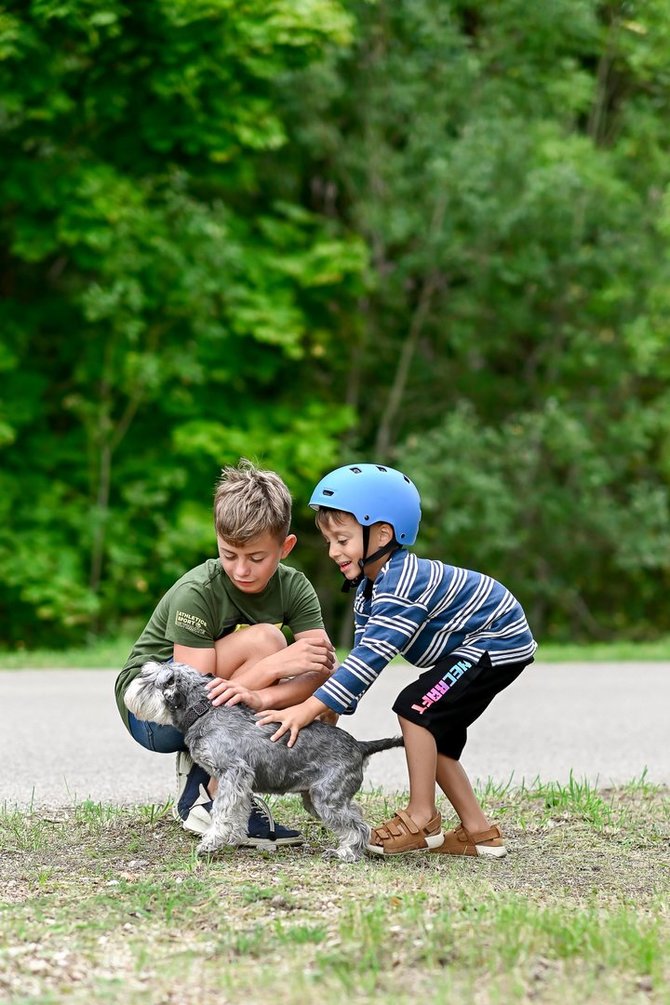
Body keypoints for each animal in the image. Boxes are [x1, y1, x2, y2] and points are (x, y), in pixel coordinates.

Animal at [124, 659, 403, 864]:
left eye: (151, 679)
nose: (130, 689)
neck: (204, 712)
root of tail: (360, 746)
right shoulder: (239, 784)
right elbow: (237, 813)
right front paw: (233, 838)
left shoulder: (233, 772)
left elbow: (222, 812)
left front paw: (211, 843)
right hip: (317, 799)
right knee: (357, 816)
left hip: (327, 800)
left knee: (360, 827)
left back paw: (346, 854)